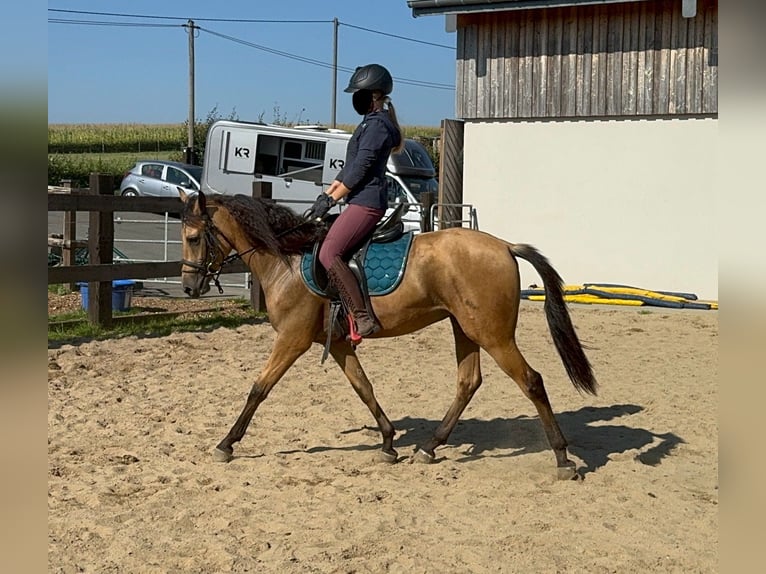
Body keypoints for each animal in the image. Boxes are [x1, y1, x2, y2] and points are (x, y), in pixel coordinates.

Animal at [180, 190, 600, 482]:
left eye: (194, 237)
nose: (187, 288)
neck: (288, 260)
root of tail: (505, 246)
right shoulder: (338, 344)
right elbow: (364, 388)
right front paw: (387, 442)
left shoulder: (292, 340)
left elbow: (259, 388)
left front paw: (226, 443)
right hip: (464, 328)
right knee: (468, 382)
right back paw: (430, 447)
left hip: (492, 334)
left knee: (531, 381)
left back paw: (562, 458)